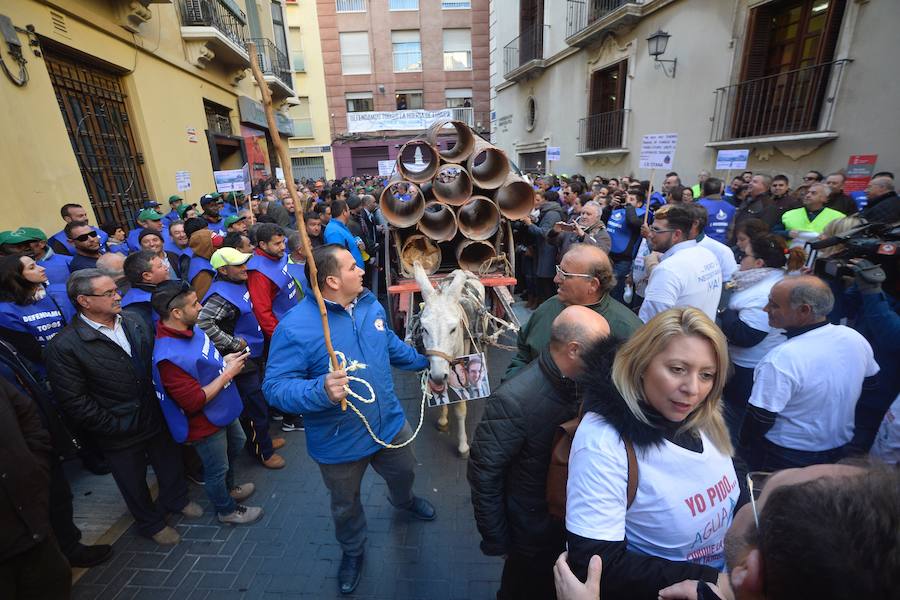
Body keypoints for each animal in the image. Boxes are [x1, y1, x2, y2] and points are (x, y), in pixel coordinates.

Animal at [414, 264, 486, 460]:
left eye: (453, 329)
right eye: (424, 329)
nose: (438, 376)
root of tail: (463, 270)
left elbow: (460, 410)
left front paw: (463, 446)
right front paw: (443, 419)